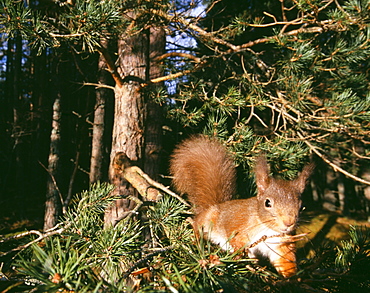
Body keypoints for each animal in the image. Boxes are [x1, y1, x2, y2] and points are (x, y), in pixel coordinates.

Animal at [170, 135, 312, 276]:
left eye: (301, 206)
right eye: (267, 203)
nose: (288, 222)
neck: (267, 229)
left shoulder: (281, 244)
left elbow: (284, 260)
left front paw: (292, 277)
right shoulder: (239, 225)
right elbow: (236, 240)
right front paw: (241, 253)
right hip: (209, 219)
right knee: (198, 223)